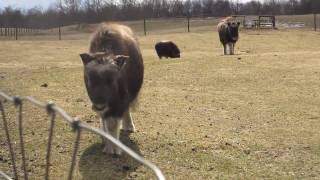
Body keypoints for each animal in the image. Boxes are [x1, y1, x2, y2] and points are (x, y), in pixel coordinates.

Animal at [79, 22, 143, 155]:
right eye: (89, 79)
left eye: (112, 79)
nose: (99, 106)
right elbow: (106, 123)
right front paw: (108, 146)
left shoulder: (120, 102)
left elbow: (113, 123)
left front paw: (114, 149)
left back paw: (129, 127)